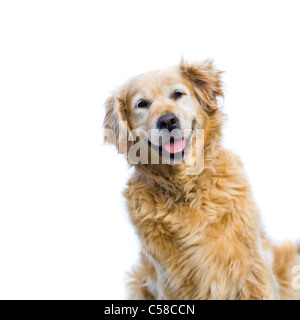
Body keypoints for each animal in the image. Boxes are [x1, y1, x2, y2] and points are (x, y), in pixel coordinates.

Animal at [103, 58, 300, 300]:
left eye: (177, 94)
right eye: (142, 104)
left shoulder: (251, 266)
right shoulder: (172, 281)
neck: (186, 187)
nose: (168, 121)